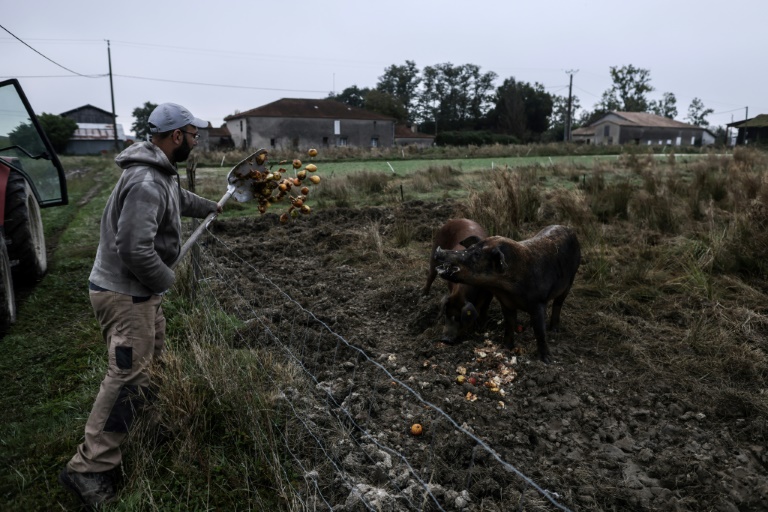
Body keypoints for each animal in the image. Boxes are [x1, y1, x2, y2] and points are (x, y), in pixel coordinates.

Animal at [436, 225, 580, 364]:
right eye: (471, 248)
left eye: (477, 254)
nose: (439, 250)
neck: (508, 289)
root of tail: (568, 228)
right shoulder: (506, 303)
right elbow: (509, 325)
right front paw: (505, 348)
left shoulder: (538, 302)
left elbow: (540, 332)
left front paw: (546, 360)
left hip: (571, 279)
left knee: (558, 303)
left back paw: (554, 330)